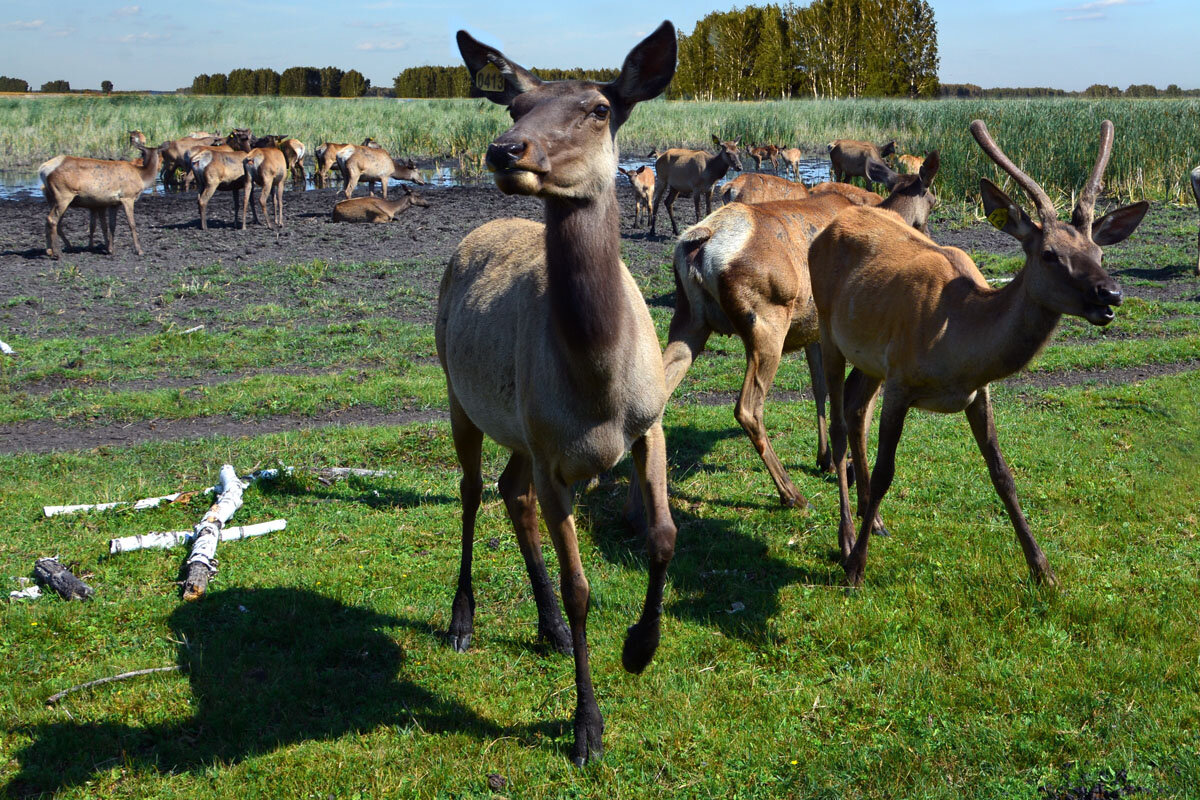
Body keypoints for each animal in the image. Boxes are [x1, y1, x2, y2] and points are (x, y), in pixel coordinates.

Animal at [436, 23, 681, 762]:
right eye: (517, 107)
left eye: (600, 108)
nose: (504, 150)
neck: (598, 389)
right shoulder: (554, 458)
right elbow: (580, 588)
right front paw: (586, 728)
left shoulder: (650, 423)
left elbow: (664, 536)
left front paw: (639, 648)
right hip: (459, 394)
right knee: (471, 493)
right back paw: (462, 620)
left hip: (520, 426)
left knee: (510, 492)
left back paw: (548, 629)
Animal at [667, 153, 936, 510]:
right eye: (933, 201)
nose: (927, 236)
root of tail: (700, 241)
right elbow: (858, 408)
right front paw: (850, 471)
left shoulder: (816, 332)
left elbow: (819, 388)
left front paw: (825, 458)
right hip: (766, 323)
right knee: (748, 408)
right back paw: (791, 494)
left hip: (689, 320)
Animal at [811, 120, 1147, 587]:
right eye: (1049, 254)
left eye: (1099, 252)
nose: (1110, 293)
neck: (957, 343)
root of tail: (829, 226)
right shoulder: (900, 381)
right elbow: (885, 473)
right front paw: (856, 567)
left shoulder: (978, 392)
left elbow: (1003, 475)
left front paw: (1043, 570)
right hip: (828, 329)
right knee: (841, 423)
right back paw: (845, 536)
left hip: (870, 359)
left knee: (856, 407)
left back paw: (871, 521)